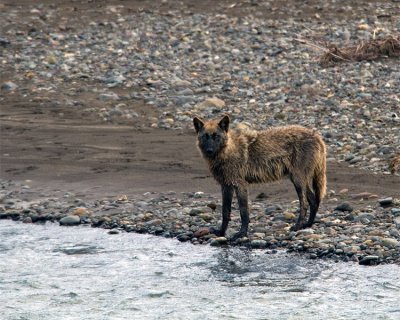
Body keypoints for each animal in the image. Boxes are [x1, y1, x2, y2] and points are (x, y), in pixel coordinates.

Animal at [194, 114, 328, 241]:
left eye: (216, 136)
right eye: (205, 136)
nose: (209, 150)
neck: (227, 151)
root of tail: (317, 136)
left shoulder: (240, 185)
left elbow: (243, 212)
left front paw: (241, 234)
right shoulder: (226, 186)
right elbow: (225, 212)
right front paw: (221, 232)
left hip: (297, 181)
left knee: (304, 204)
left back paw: (297, 226)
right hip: (300, 181)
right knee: (313, 201)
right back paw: (307, 225)